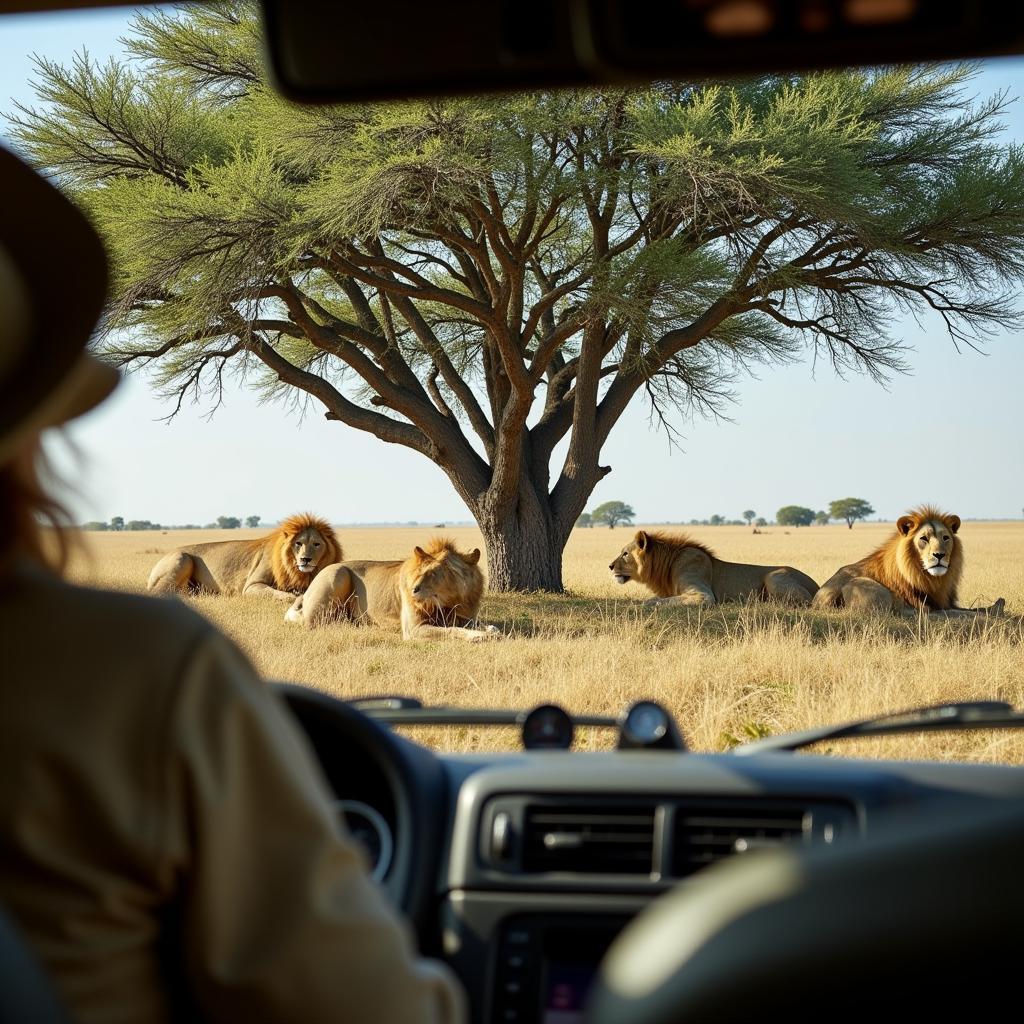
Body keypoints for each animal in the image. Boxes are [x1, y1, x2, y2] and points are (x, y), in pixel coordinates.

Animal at [146, 512, 344, 598]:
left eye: (316, 544)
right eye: (298, 544)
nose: (305, 559)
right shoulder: (251, 586)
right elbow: (279, 594)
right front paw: (294, 597)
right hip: (183, 558)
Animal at [284, 536, 499, 638]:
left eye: (439, 571)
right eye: (421, 570)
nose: (414, 590)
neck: (449, 602)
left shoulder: (464, 616)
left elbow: (481, 625)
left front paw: (490, 630)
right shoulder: (413, 628)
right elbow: (453, 631)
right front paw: (480, 636)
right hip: (337, 574)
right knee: (316, 623)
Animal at [606, 528, 815, 606]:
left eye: (625, 554)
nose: (609, 566)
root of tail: (816, 585)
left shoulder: (703, 594)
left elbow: (656, 601)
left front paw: (642, 604)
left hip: (774, 576)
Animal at [811, 505, 1003, 614]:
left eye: (945, 538)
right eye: (924, 538)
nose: (939, 555)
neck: (932, 578)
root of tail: (820, 600)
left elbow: (968, 609)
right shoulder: (925, 603)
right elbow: (962, 612)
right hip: (869, 586)